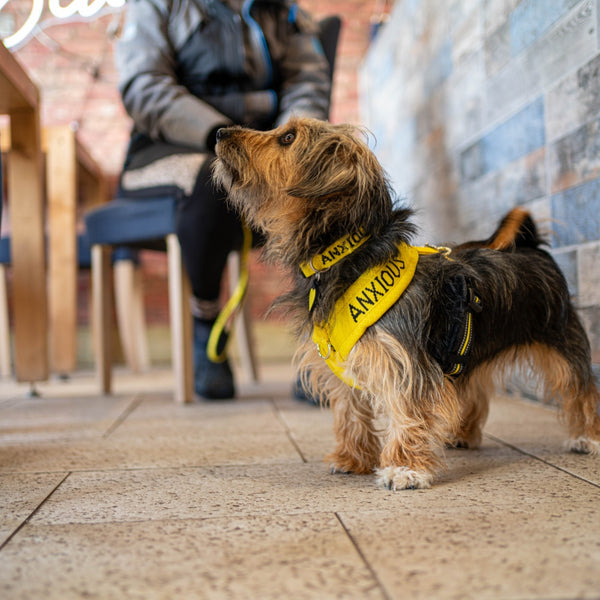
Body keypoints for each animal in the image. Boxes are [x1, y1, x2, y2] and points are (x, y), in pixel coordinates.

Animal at [214, 118, 600, 492]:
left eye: (288, 137)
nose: (219, 132)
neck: (347, 254)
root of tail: (531, 247)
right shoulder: (347, 363)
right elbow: (350, 411)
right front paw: (352, 458)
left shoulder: (404, 362)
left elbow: (407, 412)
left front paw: (405, 469)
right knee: (473, 389)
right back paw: (462, 435)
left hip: (562, 342)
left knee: (580, 387)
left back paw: (588, 437)